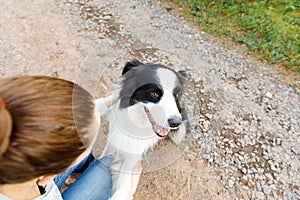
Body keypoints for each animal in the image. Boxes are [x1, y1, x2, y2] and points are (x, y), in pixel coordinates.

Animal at [102, 59, 188, 200]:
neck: (139, 122)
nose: (175, 122)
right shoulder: (113, 139)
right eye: (154, 93)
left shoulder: (134, 153)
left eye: (176, 95)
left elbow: (124, 184)